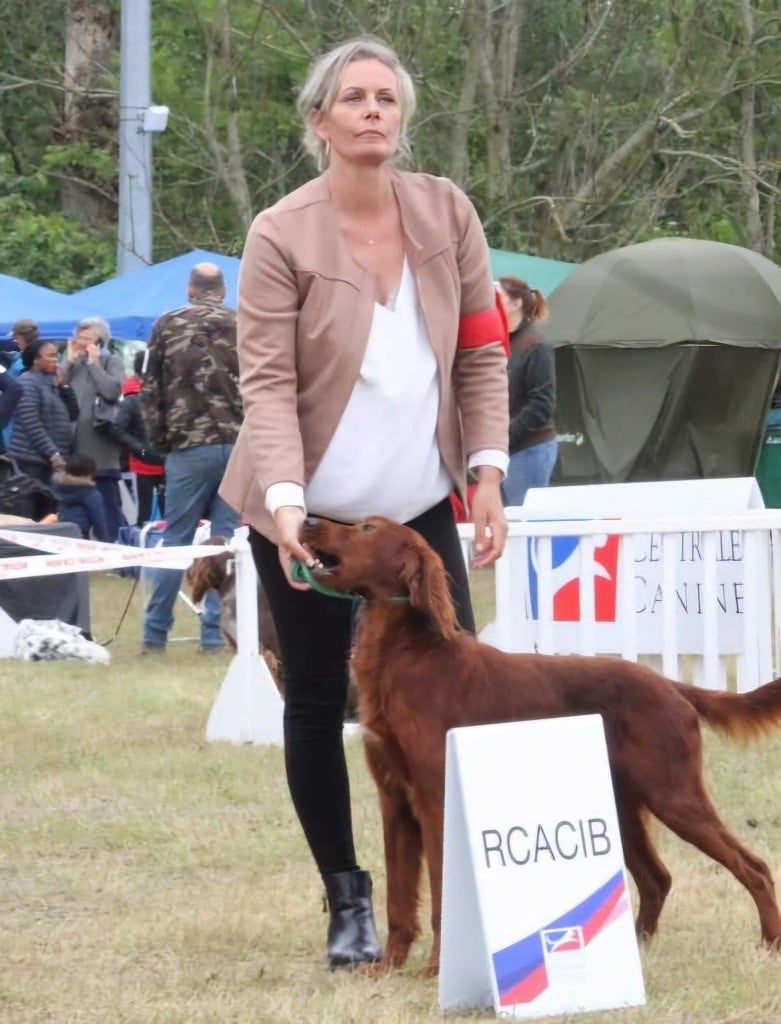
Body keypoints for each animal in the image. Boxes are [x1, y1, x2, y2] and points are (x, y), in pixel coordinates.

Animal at [300, 516, 781, 978]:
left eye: (368, 528)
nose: (305, 521)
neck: (405, 658)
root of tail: (671, 685)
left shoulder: (433, 800)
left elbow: (439, 898)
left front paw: (434, 971)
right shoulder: (396, 802)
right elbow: (399, 901)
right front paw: (387, 968)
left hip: (673, 794)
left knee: (753, 867)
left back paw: (769, 943)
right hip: (625, 802)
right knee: (656, 878)